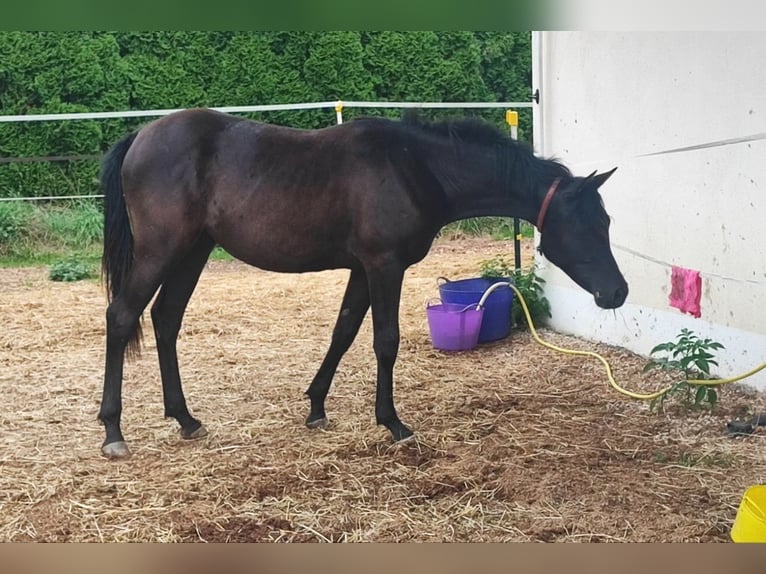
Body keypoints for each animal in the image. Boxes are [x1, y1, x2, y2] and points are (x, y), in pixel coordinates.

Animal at [96, 108, 632, 460]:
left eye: (607, 221)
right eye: (588, 225)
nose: (618, 293)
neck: (415, 166)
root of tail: (140, 136)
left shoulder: (361, 269)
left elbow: (344, 331)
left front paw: (316, 406)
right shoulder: (384, 266)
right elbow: (384, 341)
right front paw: (392, 422)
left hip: (193, 252)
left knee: (165, 319)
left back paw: (185, 418)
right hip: (161, 251)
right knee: (121, 317)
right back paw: (113, 432)